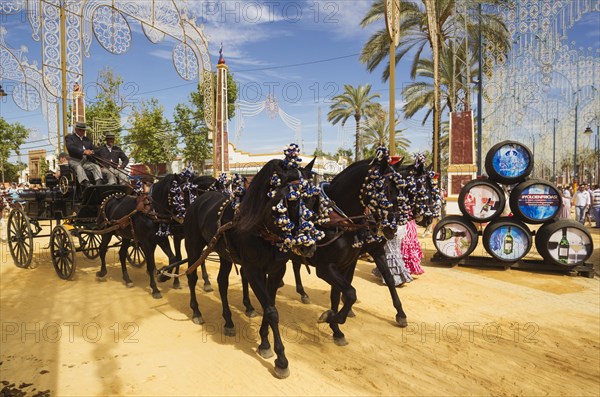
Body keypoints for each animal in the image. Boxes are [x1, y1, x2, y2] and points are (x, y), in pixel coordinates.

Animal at [184, 155, 322, 378]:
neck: (260, 226)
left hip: (225, 254)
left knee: (222, 283)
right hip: (193, 246)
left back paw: (229, 321)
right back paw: (196, 312)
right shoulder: (253, 271)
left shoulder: (276, 272)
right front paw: (281, 360)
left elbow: (268, 306)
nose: (308, 246)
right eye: (290, 199)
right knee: (191, 276)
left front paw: (264, 344)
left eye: (314, 199)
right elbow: (272, 311)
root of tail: (200, 199)